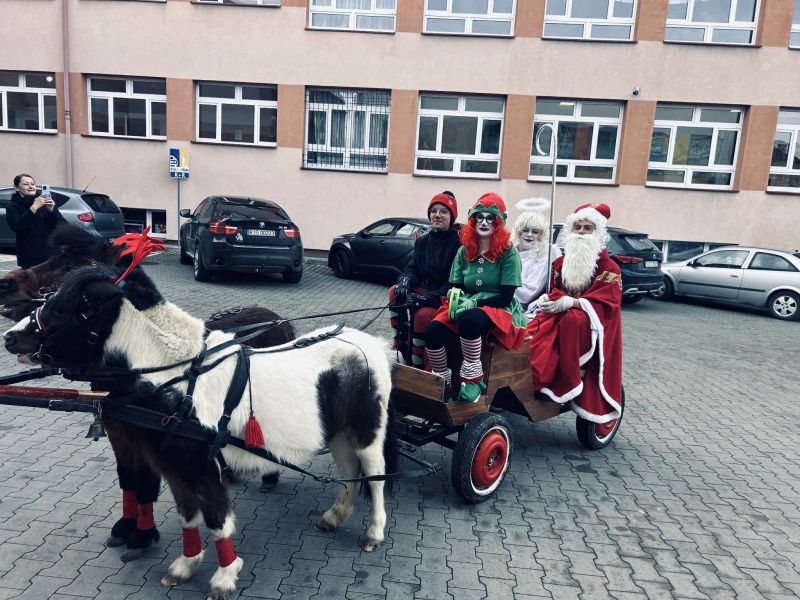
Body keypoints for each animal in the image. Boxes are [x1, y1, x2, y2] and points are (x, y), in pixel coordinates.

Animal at [5, 264, 395, 600]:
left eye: (63, 307)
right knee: (349, 472)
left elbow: (217, 519)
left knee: (375, 476)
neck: (175, 380)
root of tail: (372, 344)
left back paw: (374, 532)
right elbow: (188, 515)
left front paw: (224, 577)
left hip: (367, 432)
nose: (10, 337)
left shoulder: (203, 468)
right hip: (337, 434)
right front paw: (185, 565)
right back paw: (333, 517)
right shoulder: (174, 470)